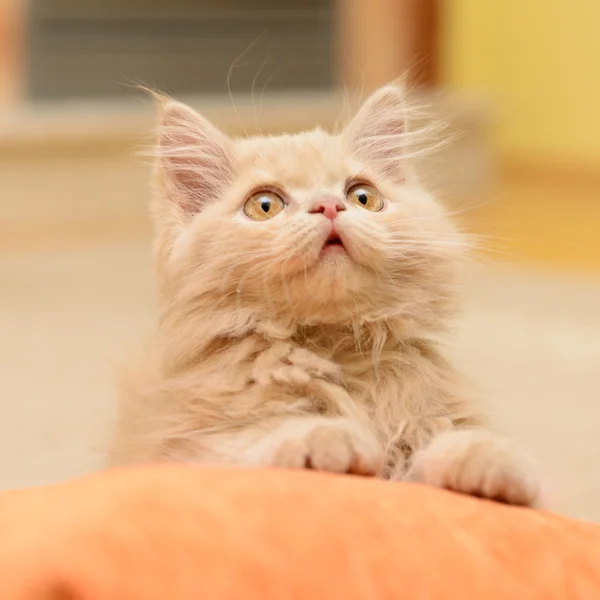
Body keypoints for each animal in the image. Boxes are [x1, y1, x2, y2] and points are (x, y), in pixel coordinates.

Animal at [110, 84, 540, 506]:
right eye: (264, 205)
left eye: (363, 197)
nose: (329, 205)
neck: (336, 350)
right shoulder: (182, 446)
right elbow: (255, 439)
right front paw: (326, 436)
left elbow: (445, 441)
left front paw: (488, 459)